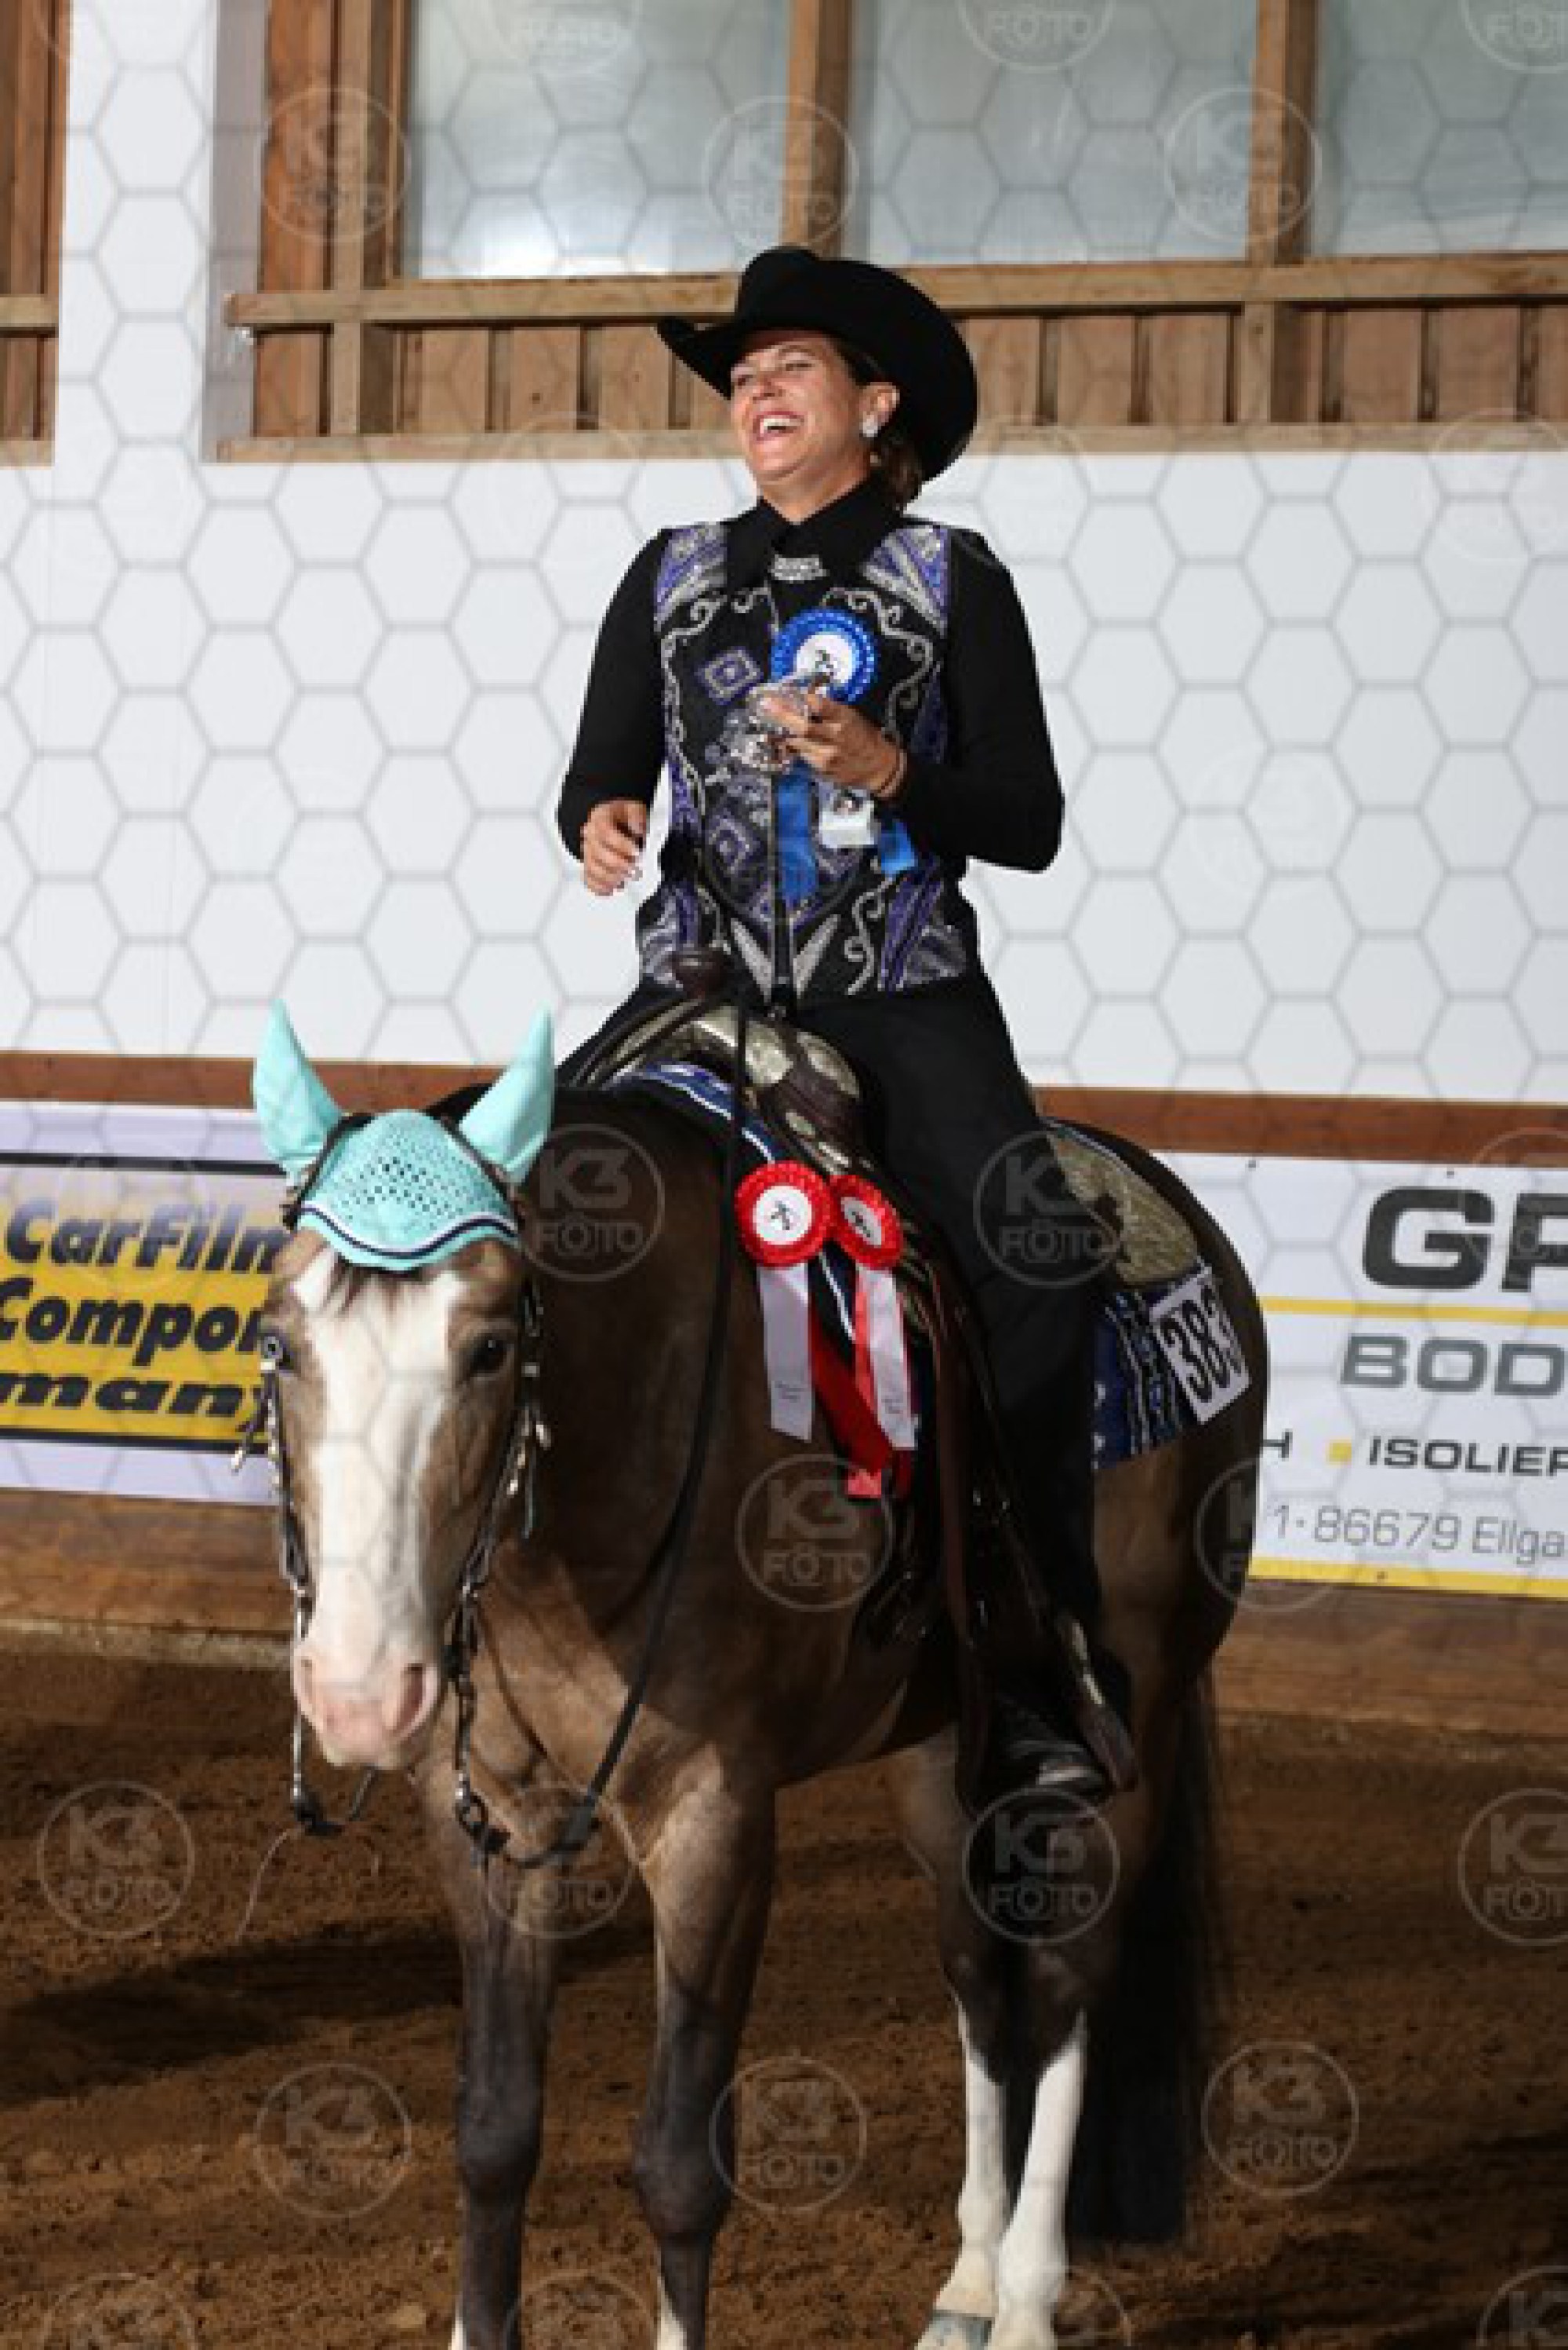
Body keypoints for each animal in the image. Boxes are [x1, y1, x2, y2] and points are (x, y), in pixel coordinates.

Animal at [247, 1000, 1268, 2350]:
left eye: (486, 1349)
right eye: (279, 1342)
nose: (358, 1688)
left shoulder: (712, 1815)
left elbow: (681, 2163)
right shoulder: (491, 1821)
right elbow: (493, 2136)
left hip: (1130, 1725)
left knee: (1066, 1979)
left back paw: (1027, 2300)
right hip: (944, 1756)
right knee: (977, 1971)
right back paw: (966, 2284)